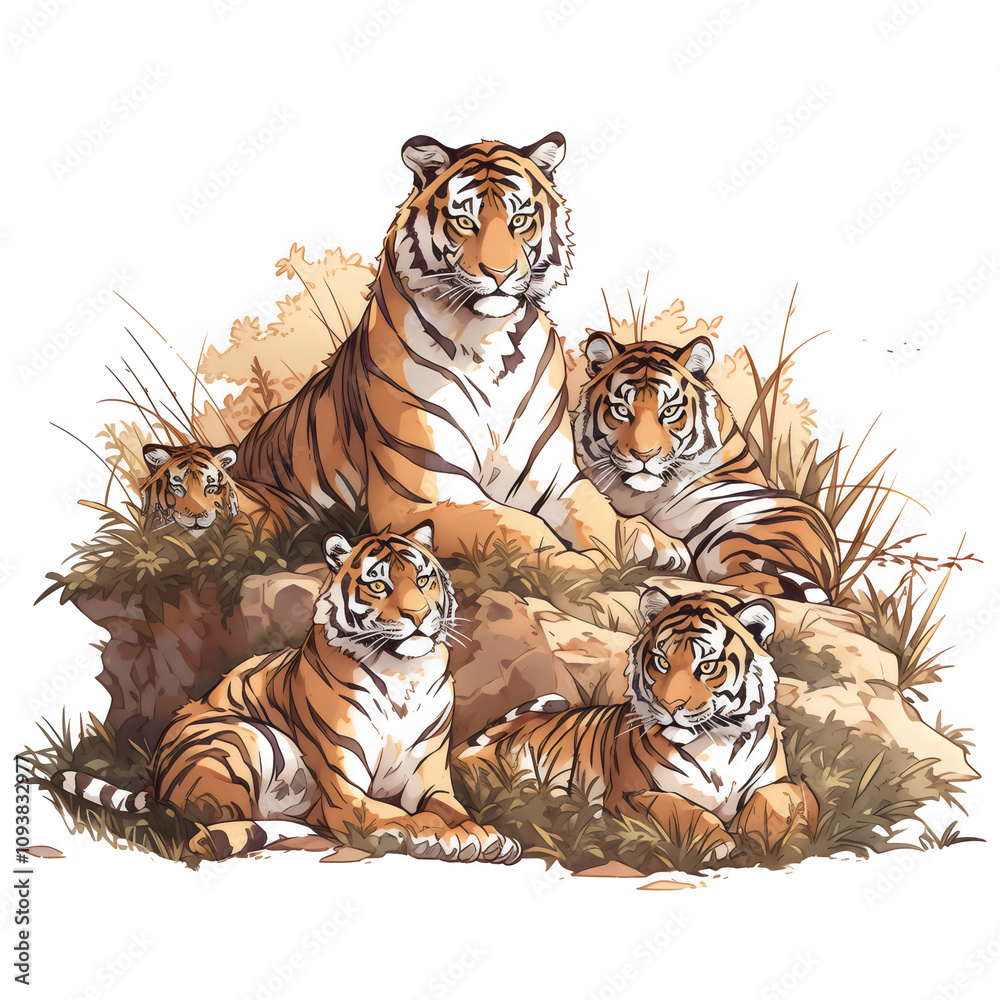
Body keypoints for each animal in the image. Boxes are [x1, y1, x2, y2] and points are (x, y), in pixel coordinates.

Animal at [59, 526, 520, 865]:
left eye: (423, 580)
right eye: (378, 586)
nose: (420, 616)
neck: (404, 673)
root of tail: (155, 782)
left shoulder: (431, 778)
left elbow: (451, 811)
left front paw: (484, 834)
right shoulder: (347, 789)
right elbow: (403, 816)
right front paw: (437, 836)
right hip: (242, 736)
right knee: (205, 824)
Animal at [234, 134, 689, 577]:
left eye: (519, 220)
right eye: (465, 222)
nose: (500, 274)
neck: (489, 340)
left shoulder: (557, 478)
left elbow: (600, 514)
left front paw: (658, 543)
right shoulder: (425, 496)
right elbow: (517, 526)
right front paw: (582, 563)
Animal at [454, 588, 818, 860]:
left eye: (707, 666)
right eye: (661, 661)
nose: (670, 707)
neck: (714, 743)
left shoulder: (781, 782)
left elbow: (784, 799)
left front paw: (768, 837)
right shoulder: (630, 793)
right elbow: (681, 809)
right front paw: (720, 844)